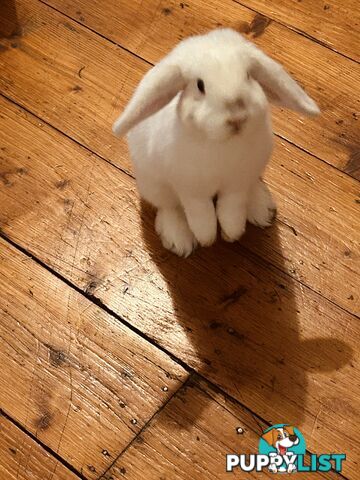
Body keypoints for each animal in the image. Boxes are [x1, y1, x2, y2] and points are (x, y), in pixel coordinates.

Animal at [113, 28, 320, 256]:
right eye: (200, 85)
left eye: (249, 76)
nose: (237, 118)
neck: (222, 143)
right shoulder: (190, 189)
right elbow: (201, 215)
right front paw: (207, 239)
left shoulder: (237, 184)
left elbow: (232, 210)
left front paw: (232, 233)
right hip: (153, 185)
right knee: (169, 207)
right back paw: (179, 240)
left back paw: (262, 209)